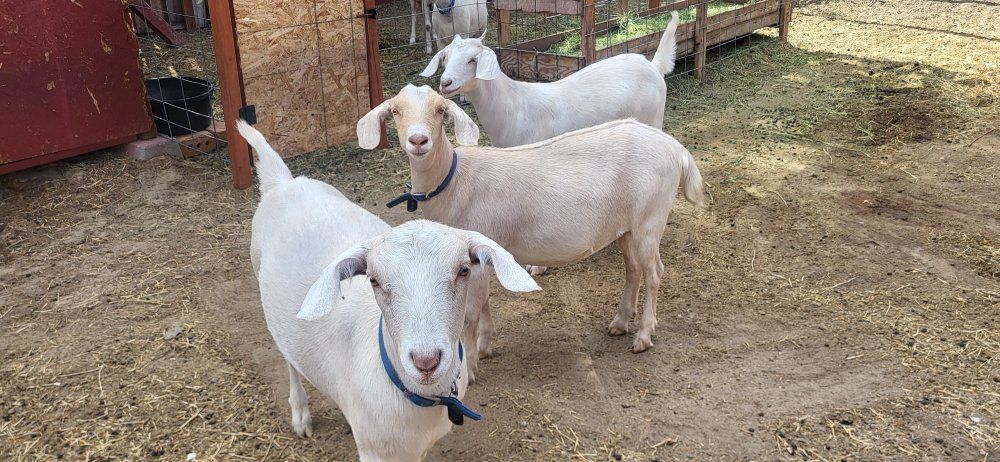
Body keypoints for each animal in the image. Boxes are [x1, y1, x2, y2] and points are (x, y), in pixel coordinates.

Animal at [241, 120, 539, 461]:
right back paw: (300, 413)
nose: (426, 361)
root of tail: (283, 182)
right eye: (373, 280)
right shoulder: (376, 450)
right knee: (290, 360)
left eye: (464, 270)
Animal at [357, 85, 704, 357]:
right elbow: (484, 304)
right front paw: (486, 345)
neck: (454, 182)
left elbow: (471, 313)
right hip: (625, 226)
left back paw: (643, 335)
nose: (418, 141)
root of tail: (676, 149)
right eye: (396, 110)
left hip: (650, 219)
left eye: (440, 110)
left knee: (655, 272)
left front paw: (474, 357)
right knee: (633, 269)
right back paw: (619, 323)